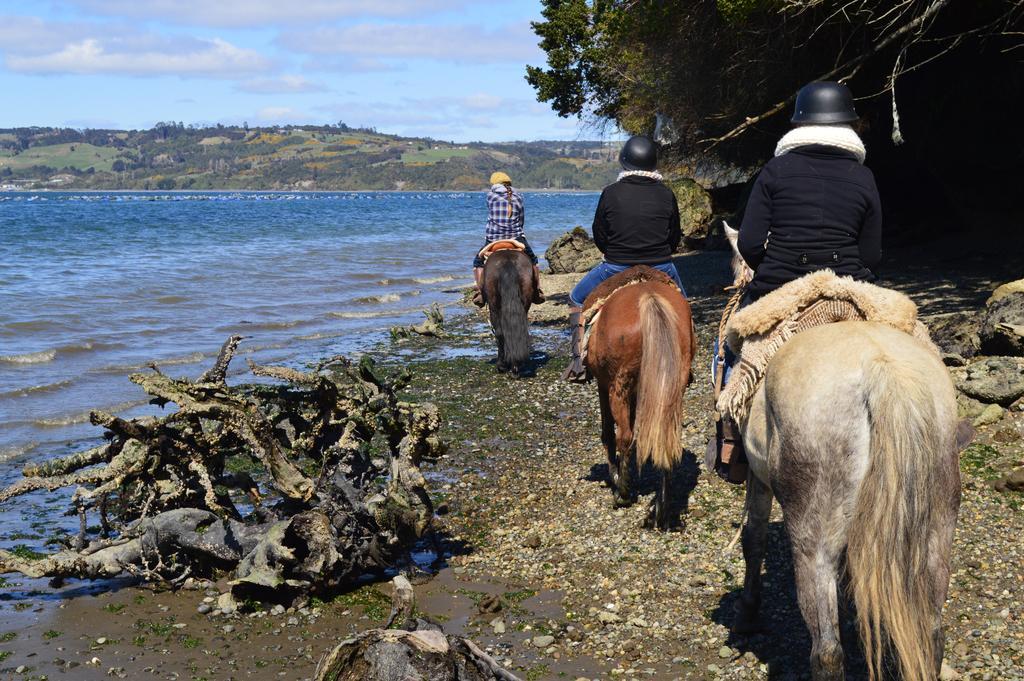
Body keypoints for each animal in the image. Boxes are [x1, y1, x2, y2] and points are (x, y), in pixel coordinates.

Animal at [585, 268, 696, 528]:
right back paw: (661, 508)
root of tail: (649, 298)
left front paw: (615, 475)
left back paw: (623, 493)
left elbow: (608, 432)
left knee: (624, 435)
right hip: (671, 384)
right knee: (666, 435)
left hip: (619, 386)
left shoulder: (603, 385)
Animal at [720, 225, 958, 675]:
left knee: (826, 650)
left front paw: (746, 614)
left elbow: (753, 537)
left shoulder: (758, 478)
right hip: (936, 531)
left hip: (812, 537)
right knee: (933, 634)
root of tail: (882, 370)